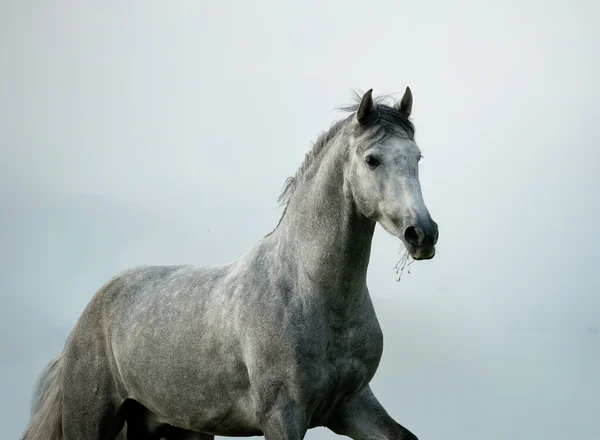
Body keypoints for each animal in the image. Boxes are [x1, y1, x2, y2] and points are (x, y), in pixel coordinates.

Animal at [21, 87, 438, 438]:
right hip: (92, 421)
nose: (423, 233)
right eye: (372, 160)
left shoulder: (352, 405)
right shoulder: (283, 416)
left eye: (417, 157)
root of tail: (84, 322)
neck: (311, 290)